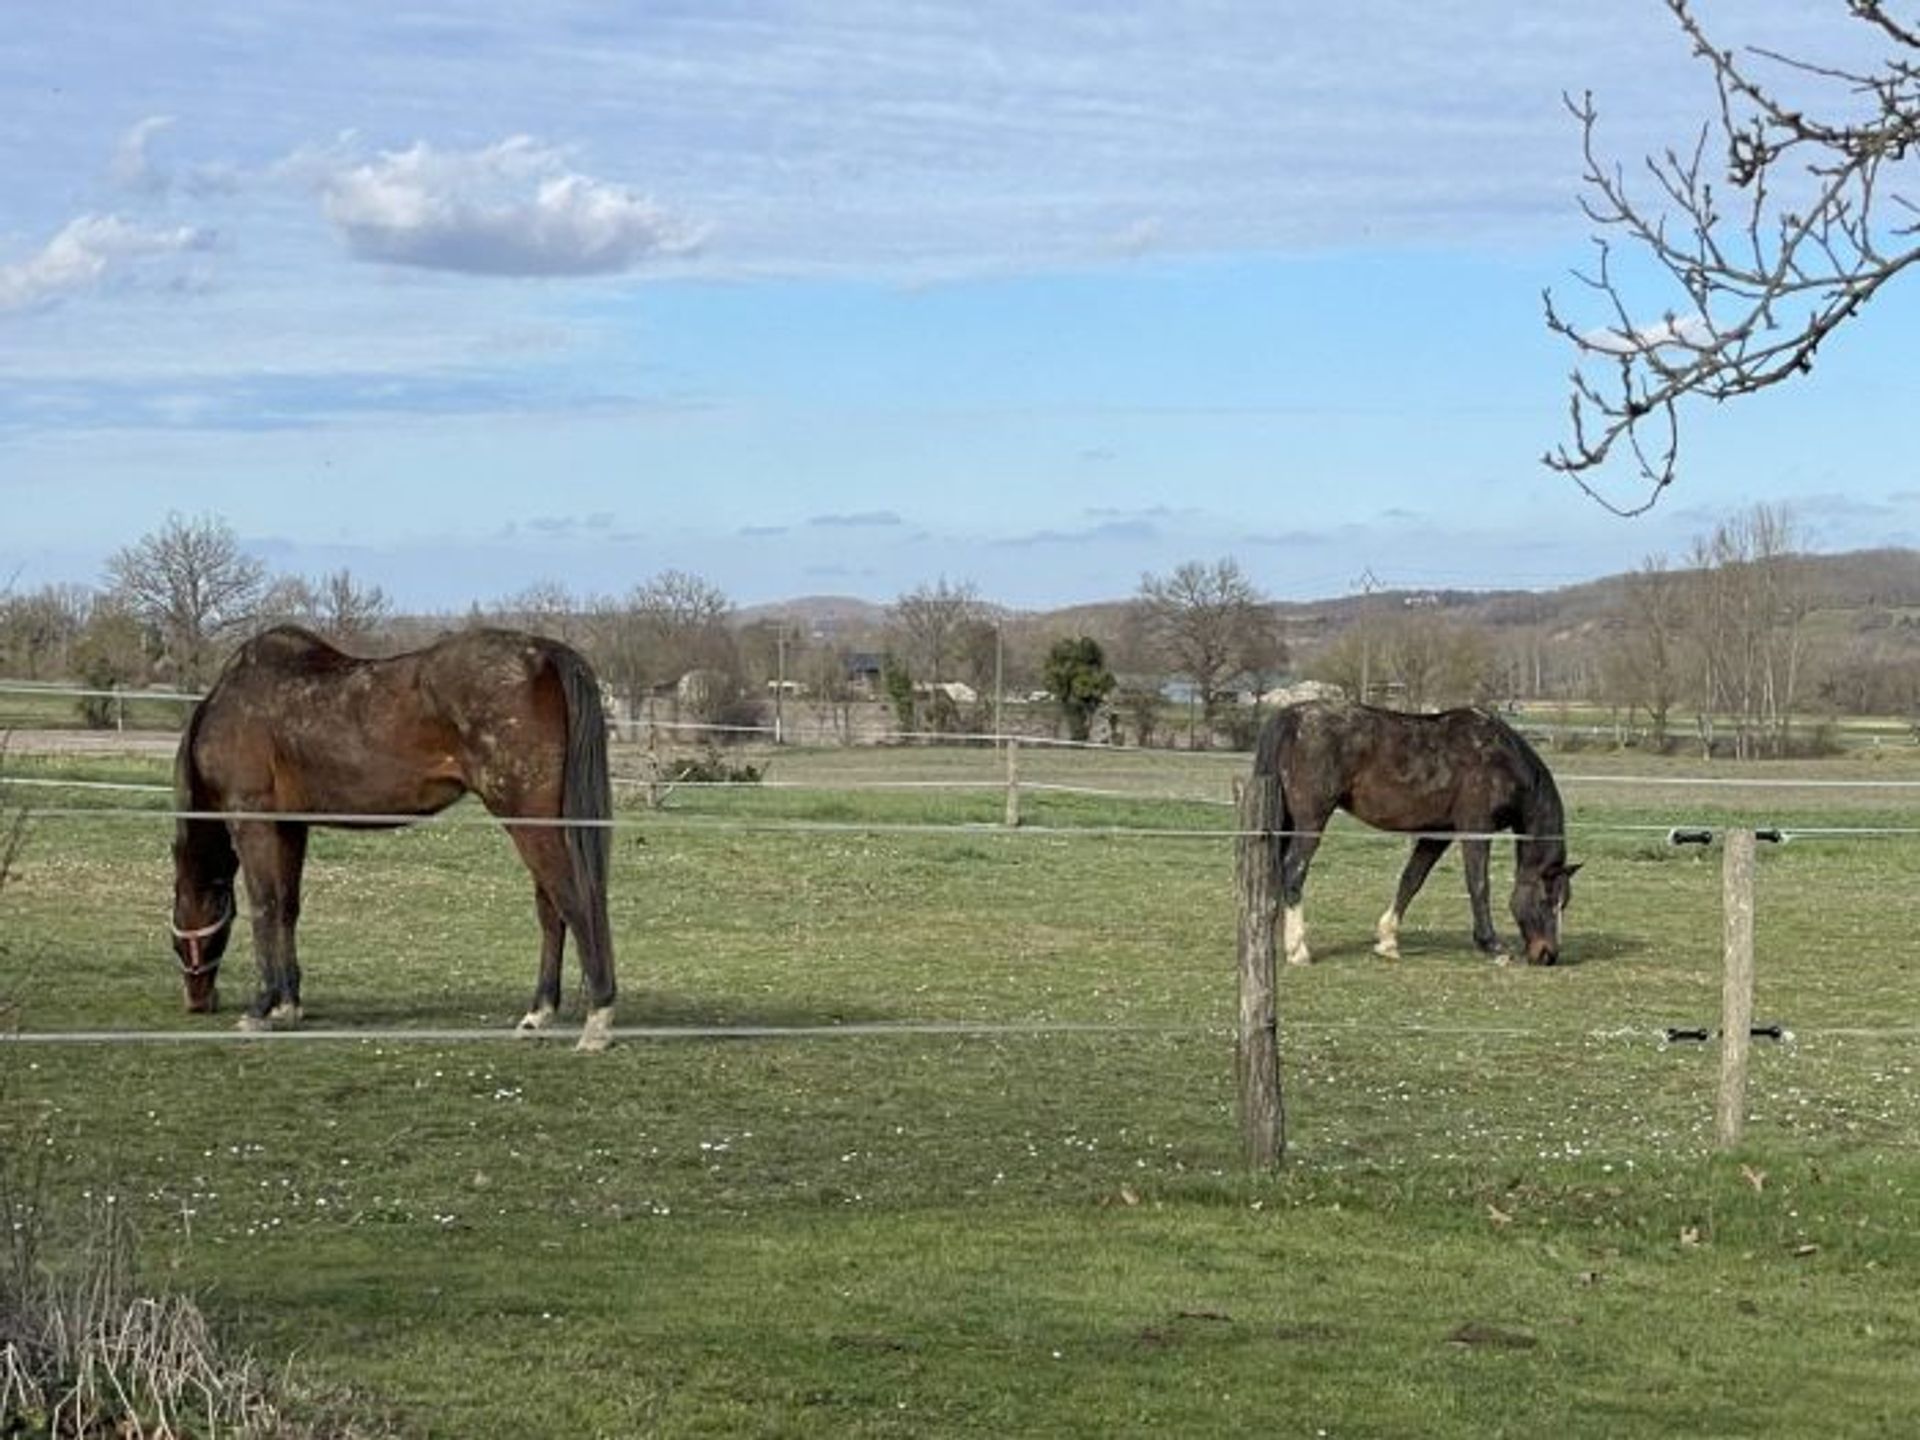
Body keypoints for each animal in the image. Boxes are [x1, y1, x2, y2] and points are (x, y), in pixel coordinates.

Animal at [172, 625, 618, 1052]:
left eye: (180, 927)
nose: (197, 1002)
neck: (234, 701)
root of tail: (544, 652)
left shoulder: (252, 821)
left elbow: (263, 907)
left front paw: (260, 1008)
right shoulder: (290, 826)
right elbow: (286, 908)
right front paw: (288, 1004)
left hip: (530, 822)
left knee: (574, 902)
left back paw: (597, 1019)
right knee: (551, 910)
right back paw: (538, 1014)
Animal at [1251, 702, 1582, 971]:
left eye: (1564, 903)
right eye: (1547, 898)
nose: (1548, 955)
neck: (1499, 758)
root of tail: (1292, 717)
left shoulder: (1438, 834)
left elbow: (1411, 880)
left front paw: (1387, 942)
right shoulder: (1476, 828)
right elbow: (1478, 885)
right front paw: (1493, 946)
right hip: (1310, 821)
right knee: (1293, 872)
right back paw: (1298, 950)